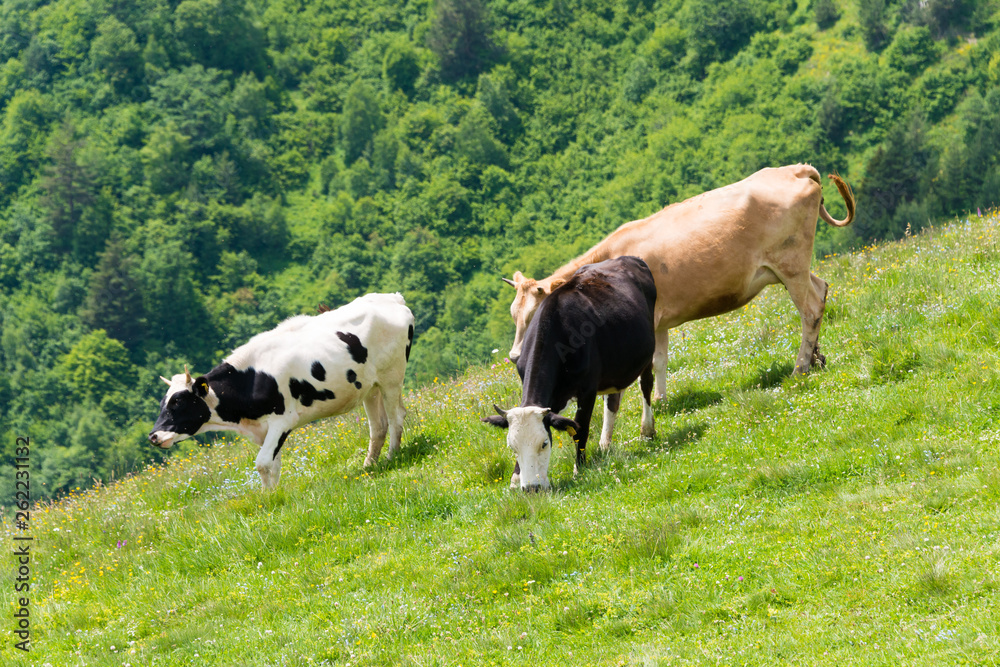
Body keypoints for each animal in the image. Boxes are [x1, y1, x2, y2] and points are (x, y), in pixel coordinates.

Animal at [148, 294, 414, 488]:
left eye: (179, 402)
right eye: (162, 403)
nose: (153, 436)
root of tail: (392, 298)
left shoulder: (282, 421)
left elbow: (263, 463)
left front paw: (268, 498)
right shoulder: (265, 430)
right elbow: (272, 466)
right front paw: (272, 495)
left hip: (391, 378)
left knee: (396, 418)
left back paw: (392, 457)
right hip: (370, 388)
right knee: (378, 426)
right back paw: (369, 465)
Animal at [482, 256, 656, 490]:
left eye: (544, 443)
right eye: (513, 447)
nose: (532, 489)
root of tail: (626, 258)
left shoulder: (587, 390)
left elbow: (580, 429)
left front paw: (579, 469)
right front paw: (516, 478)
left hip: (649, 348)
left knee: (646, 385)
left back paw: (647, 430)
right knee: (613, 400)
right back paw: (605, 443)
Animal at [504, 164, 856, 400]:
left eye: (535, 314)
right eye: (513, 314)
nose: (515, 356)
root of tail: (795, 170)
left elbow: (650, 363)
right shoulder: (659, 319)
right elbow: (661, 360)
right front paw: (661, 400)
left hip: (791, 264)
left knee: (810, 308)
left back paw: (800, 368)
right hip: (788, 269)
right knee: (821, 290)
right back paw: (816, 358)